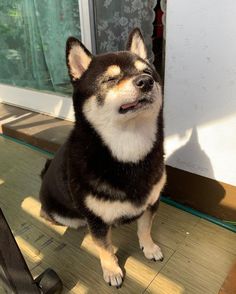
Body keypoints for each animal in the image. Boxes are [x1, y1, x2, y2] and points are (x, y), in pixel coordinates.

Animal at [39, 28, 166, 288]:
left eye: (148, 72)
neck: (129, 151)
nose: (146, 81)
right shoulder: (95, 219)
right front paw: (112, 270)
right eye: (110, 80)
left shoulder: (151, 202)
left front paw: (149, 248)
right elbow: (105, 247)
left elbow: (145, 228)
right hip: (67, 215)